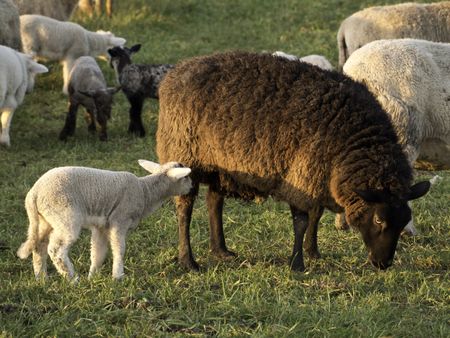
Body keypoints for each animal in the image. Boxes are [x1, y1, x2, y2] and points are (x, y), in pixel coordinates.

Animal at [17, 160, 192, 280]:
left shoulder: (101, 226)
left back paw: (42, 279)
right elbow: (119, 248)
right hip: (65, 214)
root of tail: (34, 193)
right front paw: (118, 276)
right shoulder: (119, 220)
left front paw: (93, 276)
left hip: (45, 219)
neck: (145, 192)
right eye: (186, 177)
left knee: (38, 245)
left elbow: (98, 251)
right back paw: (73, 279)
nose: (191, 188)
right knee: (56, 249)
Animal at [156, 50, 430, 272]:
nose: (383, 264)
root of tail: (177, 71)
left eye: (404, 221)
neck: (354, 139)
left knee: (214, 201)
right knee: (184, 210)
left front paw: (313, 251)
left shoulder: (319, 174)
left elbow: (316, 214)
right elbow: (302, 221)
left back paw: (220, 250)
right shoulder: (302, 174)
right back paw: (188, 261)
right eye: (378, 220)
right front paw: (298, 263)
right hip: (184, 154)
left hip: (222, 165)